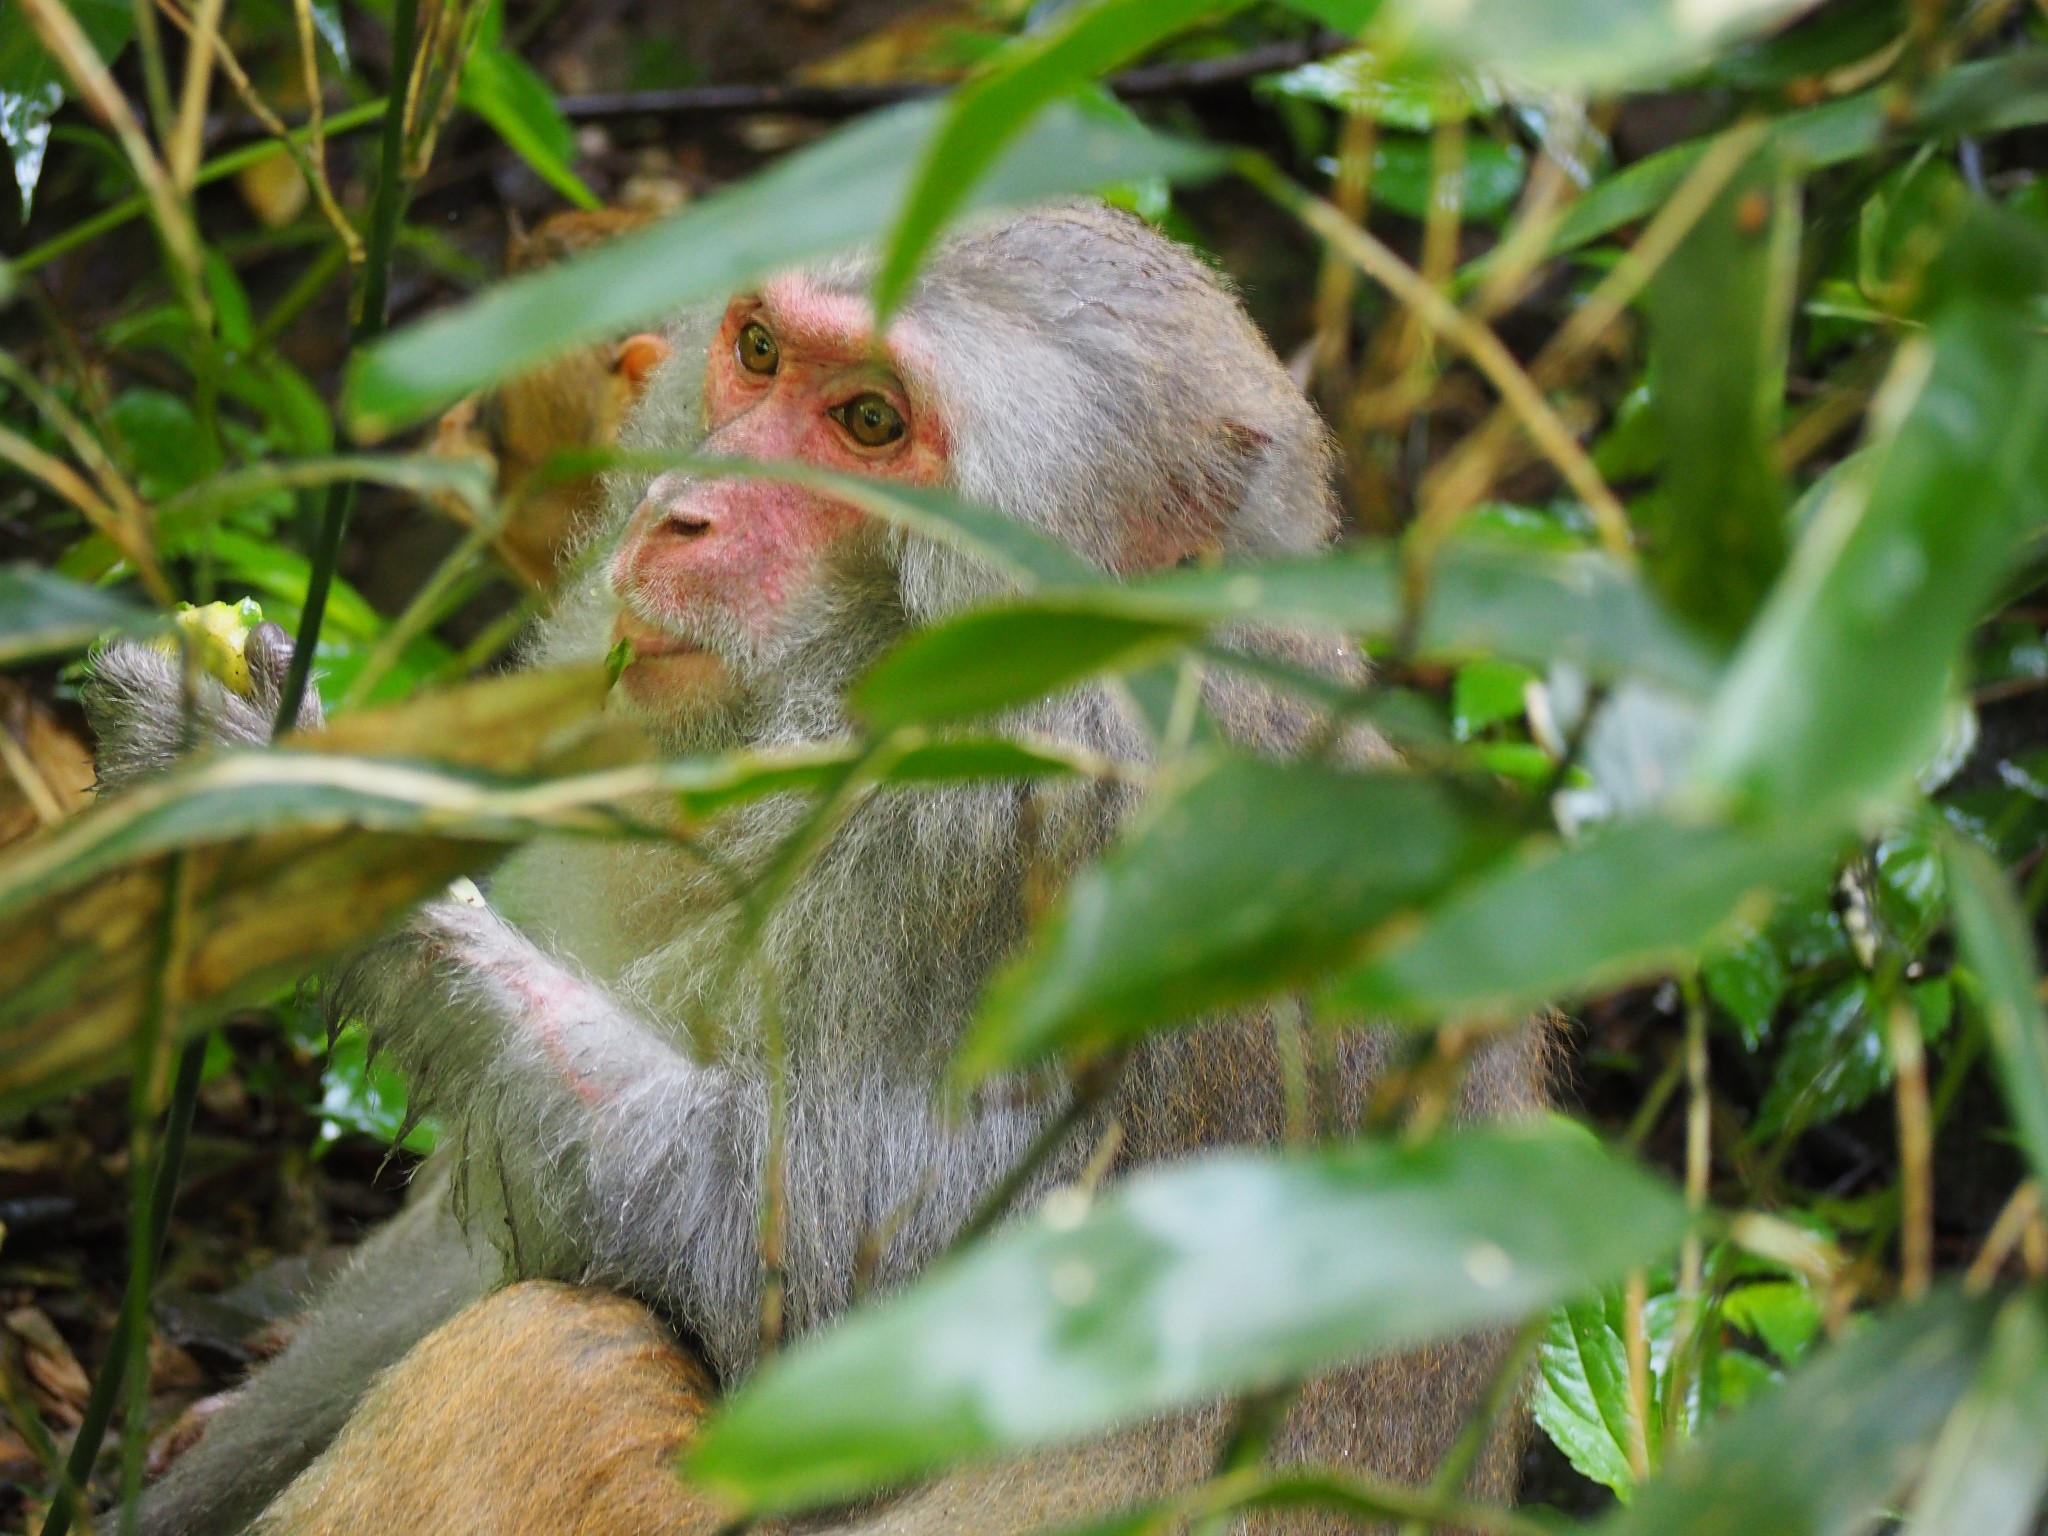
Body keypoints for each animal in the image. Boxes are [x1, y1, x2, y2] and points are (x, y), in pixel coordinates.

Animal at [83, 207, 1548, 1536]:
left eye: (872, 425)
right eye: (759, 352)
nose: (678, 512)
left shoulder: (1006, 861)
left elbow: (797, 1293)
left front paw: (284, 817)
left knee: (565, 1363)